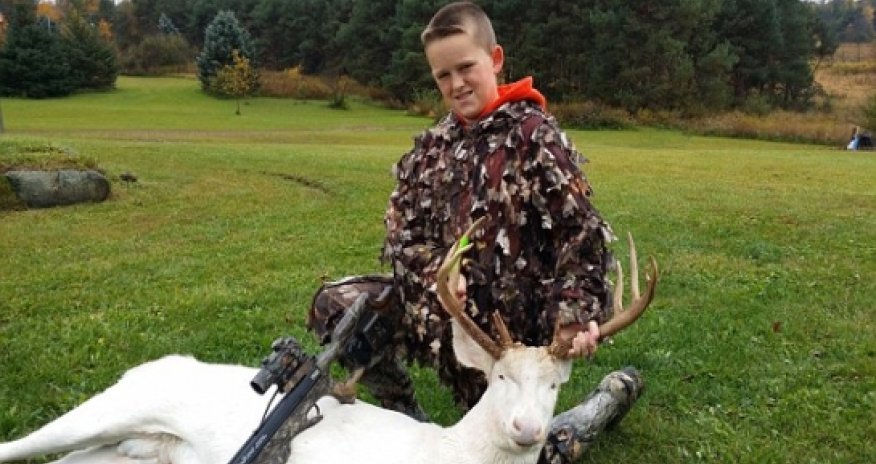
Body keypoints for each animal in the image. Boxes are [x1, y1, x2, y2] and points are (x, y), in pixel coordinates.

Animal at [0, 222, 657, 464]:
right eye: (499, 378)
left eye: (557, 384)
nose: (527, 429)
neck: (453, 453)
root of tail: (148, 366)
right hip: (113, 407)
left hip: (116, 453)